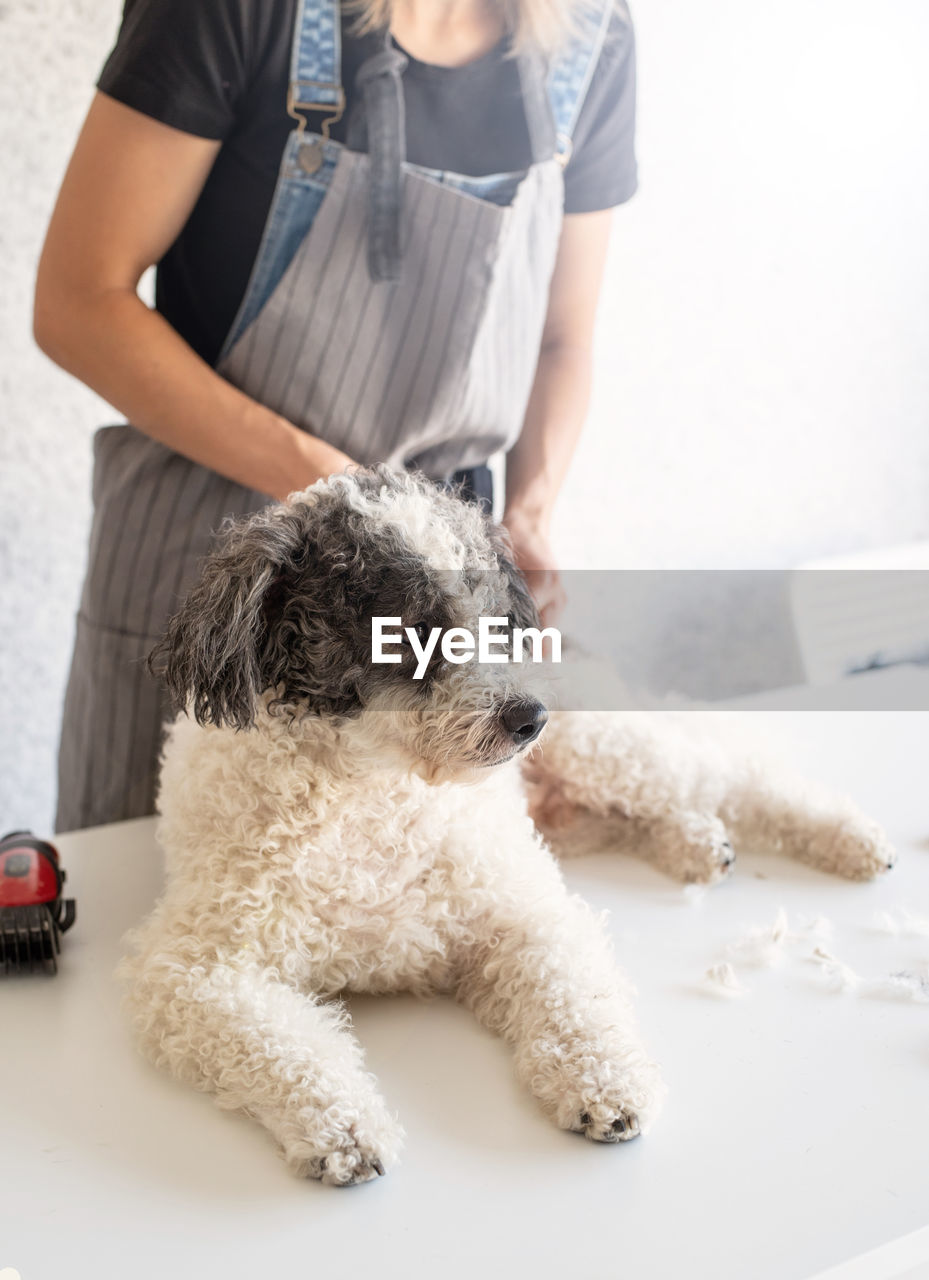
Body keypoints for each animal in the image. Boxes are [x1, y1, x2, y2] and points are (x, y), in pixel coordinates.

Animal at [120, 471, 900, 1187]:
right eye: (410, 631)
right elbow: (282, 1049)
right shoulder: (196, 970)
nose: (529, 717)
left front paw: (605, 1083)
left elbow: (573, 999)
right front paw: (343, 1129)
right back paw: (697, 845)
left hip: (606, 749)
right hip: (575, 813)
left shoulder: (521, 915)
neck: (372, 793)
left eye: (494, 620)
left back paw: (848, 838)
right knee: (648, 815)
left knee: (733, 778)